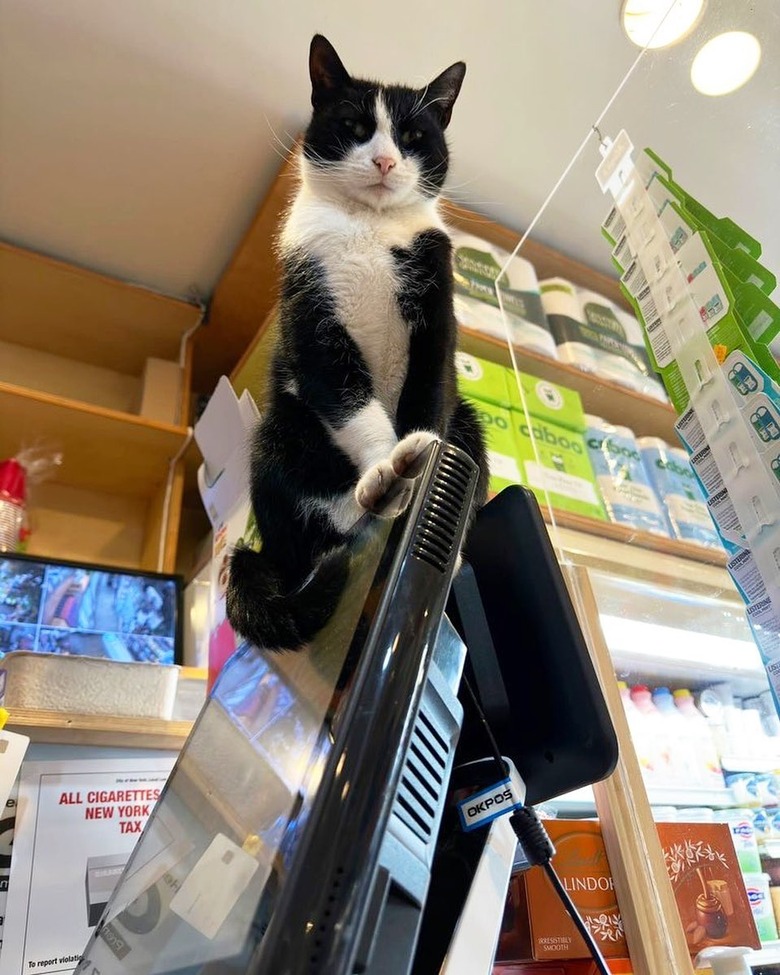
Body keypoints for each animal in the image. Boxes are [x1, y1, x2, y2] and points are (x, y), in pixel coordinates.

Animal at [224, 34, 488, 652]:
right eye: (354, 124)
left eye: (414, 136)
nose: (386, 160)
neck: (369, 229)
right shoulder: (309, 307)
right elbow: (346, 397)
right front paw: (388, 463)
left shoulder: (435, 306)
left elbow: (429, 390)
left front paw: (423, 463)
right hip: (281, 434)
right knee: (320, 534)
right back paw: (376, 494)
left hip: (470, 420)